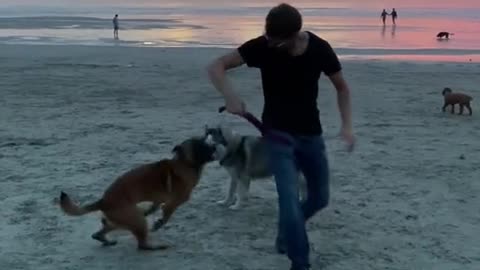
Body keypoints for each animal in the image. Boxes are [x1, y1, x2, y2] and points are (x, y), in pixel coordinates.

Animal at [58, 137, 216, 251]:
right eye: (200, 145)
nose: (214, 146)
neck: (185, 162)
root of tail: (103, 201)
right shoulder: (176, 201)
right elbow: (166, 213)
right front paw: (159, 223)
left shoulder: (158, 200)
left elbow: (154, 206)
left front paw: (151, 212)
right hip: (136, 219)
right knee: (141, 245)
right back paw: (157, 246)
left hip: (123, 220)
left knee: (98, 233)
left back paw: (107, 241)